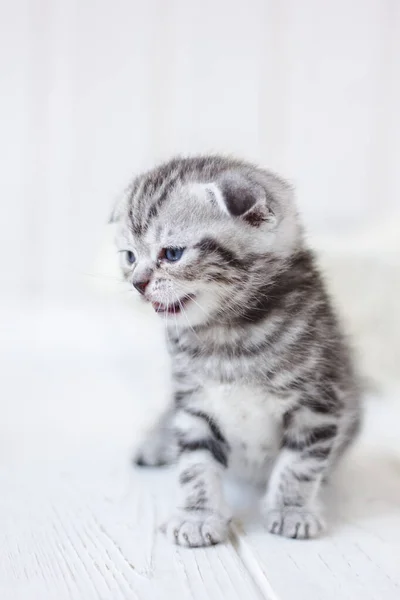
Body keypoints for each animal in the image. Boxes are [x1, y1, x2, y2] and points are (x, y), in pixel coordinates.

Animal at [111, 156, 360, 548]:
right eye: (130, 257)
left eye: (172, 253)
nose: (137, 283)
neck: (227, 334)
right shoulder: (193, 402)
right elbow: (195, 465)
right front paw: (197, 515)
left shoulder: (318, 402)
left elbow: (300, 464)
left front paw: (292, 509)